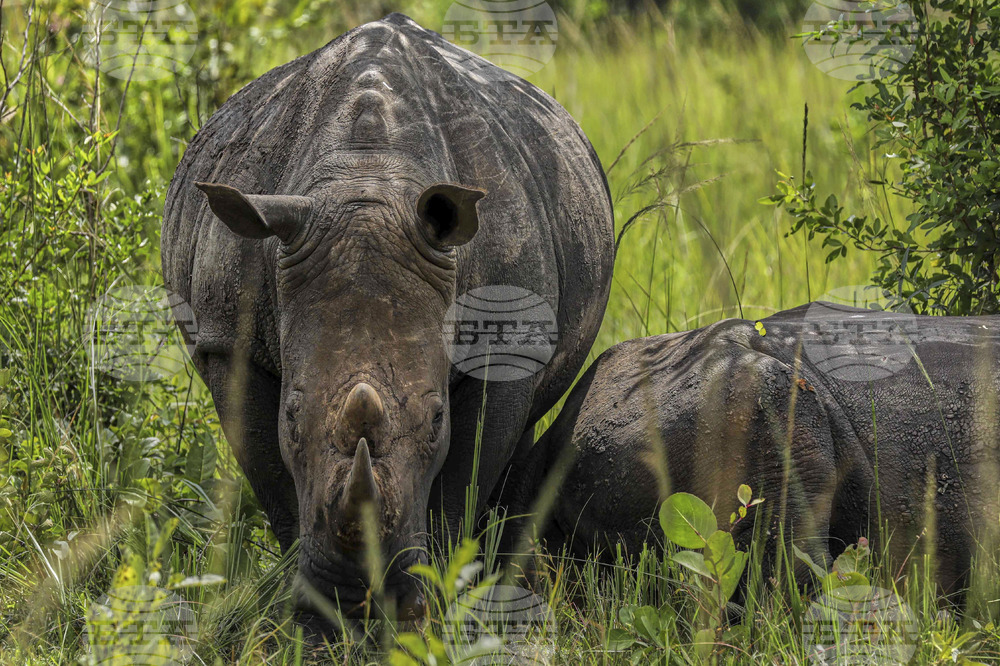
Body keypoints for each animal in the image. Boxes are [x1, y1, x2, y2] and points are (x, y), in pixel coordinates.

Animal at [161, 13, 614, 619]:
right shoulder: (229, 336)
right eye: (291, 415)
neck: (368, 176)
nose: (357, 596)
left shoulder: (507, 339)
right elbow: (274, 481)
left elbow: (462, 481)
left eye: (436, 420)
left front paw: (433, 601)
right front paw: (315, 614)